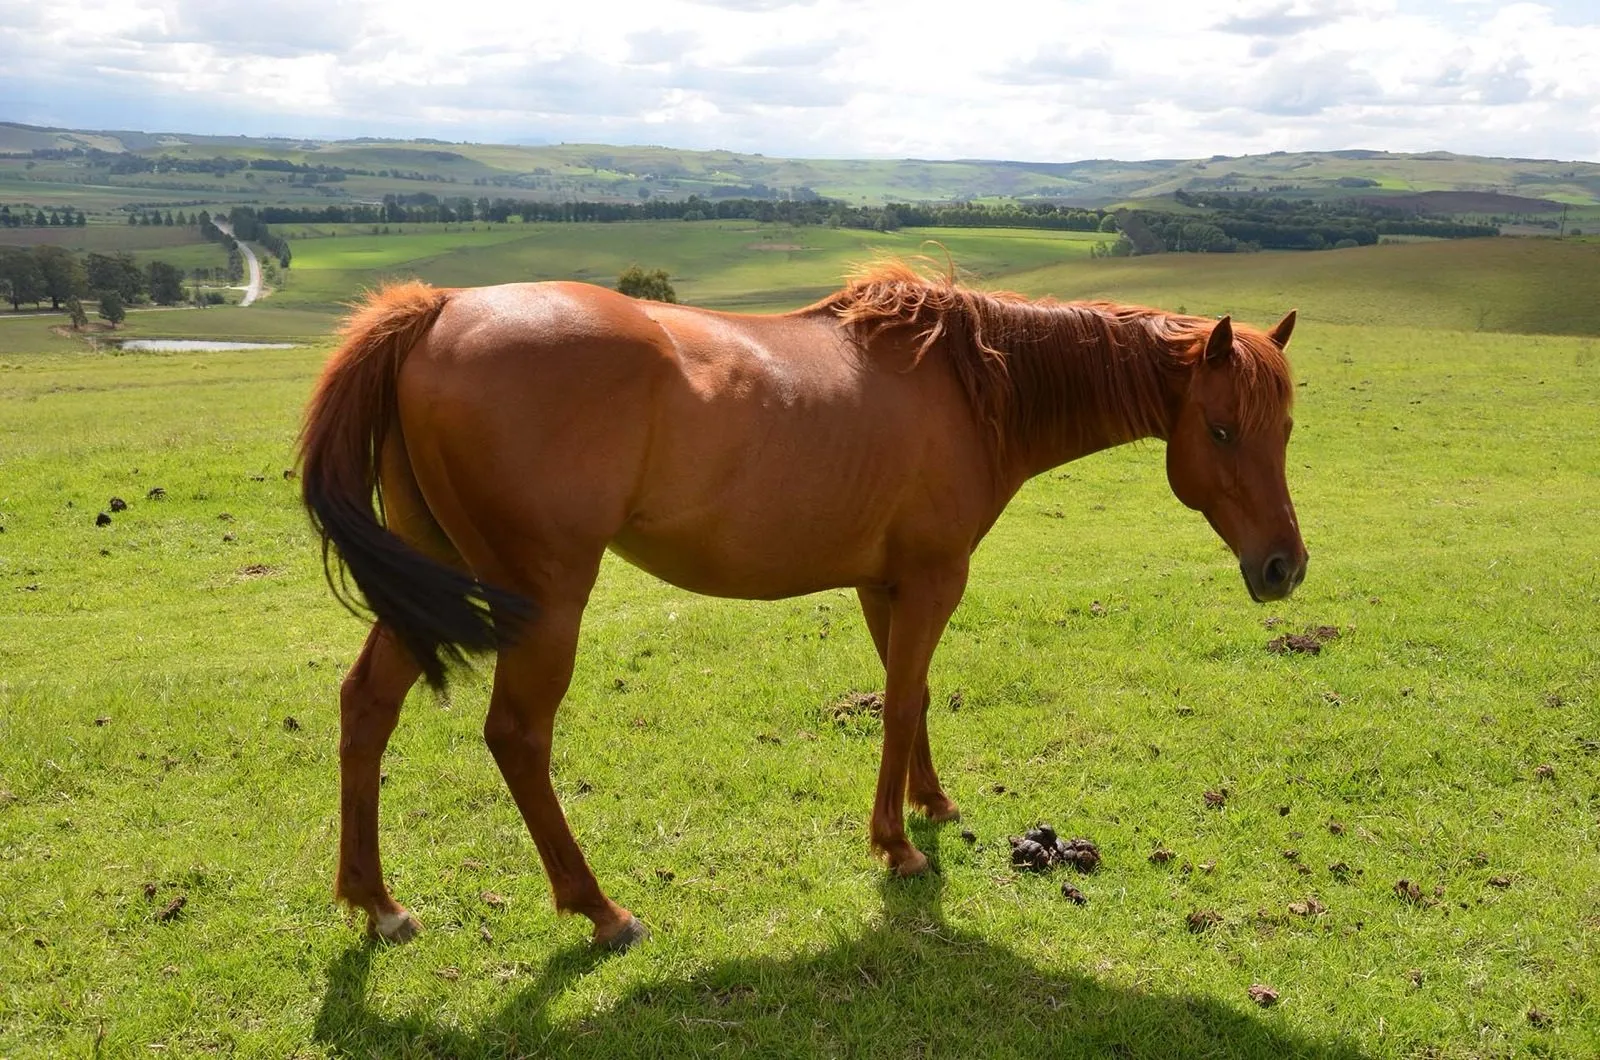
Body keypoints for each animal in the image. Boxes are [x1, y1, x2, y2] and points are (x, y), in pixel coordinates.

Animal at [299, 261, 1306, 951]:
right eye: (1222, 430)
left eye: (1287, 427)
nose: (1283, 568)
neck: (973, 385)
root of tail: (437, 309)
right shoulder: (935, 578)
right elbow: (899, 703)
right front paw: (896, 846)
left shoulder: (883, 583)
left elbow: (915, 697)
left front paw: (930, 803)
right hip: (540, 599)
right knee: (515, 737)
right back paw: (599, 909)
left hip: (429, 575)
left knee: (366, 704)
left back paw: (377, 904)